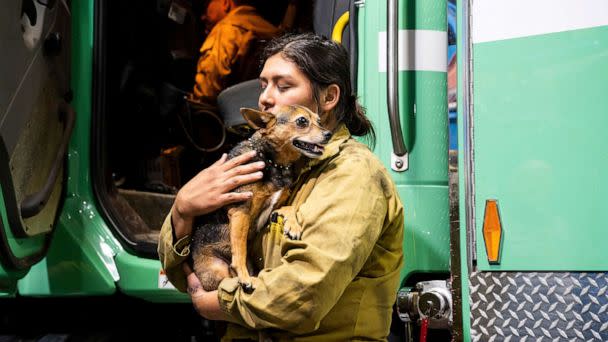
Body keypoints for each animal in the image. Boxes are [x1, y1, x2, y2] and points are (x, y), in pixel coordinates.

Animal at [191, 104, 330, 292]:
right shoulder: (240, 212)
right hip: (216, 269)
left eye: (320, 121)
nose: (328, 134)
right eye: (302, 121)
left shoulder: (275, 206)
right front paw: (244, 276)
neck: (273, 162)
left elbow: (289, 207)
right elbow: (239, 251)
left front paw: (293, 225)